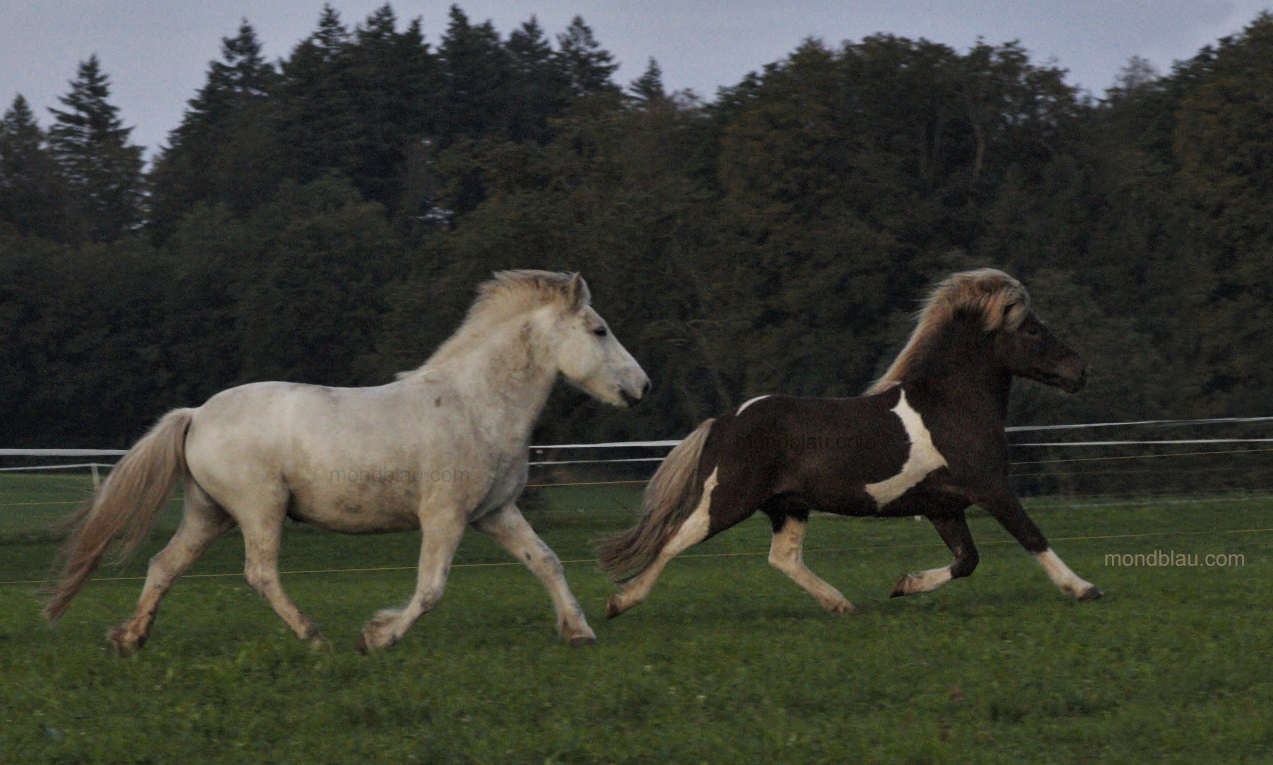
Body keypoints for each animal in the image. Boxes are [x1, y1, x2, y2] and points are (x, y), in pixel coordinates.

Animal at [46, 268, 651, 649]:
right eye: (599, 329)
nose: (642, 387)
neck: (474, 405)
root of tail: (196, 413)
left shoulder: (495, 513)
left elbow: (545, 561)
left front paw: (580, 631)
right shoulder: (445, 516)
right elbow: (431, 587)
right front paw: (377, 637)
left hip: (208, 514)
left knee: (164, 565)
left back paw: (130, 638)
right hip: (259, 510)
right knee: (259, 574)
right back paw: (314, 638)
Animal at [600, 271, 1099, 618]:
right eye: (1031, 329)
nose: (1080, 372)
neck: (951, 405)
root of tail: (724, 421)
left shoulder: (944, 505)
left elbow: (967, 560)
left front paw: (903, 584)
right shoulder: (990, 487)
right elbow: (1032, 537)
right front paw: (1084, 589)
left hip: (789, 505)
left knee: (783, 558)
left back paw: (841, 604)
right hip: (727, 500)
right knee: (673, 540)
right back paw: (620, 602)